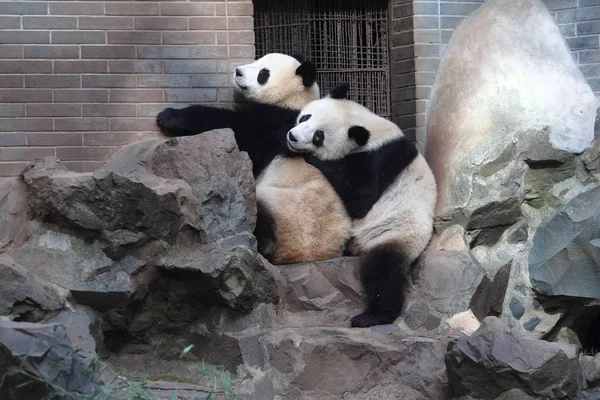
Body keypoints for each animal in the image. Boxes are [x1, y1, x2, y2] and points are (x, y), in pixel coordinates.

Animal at [156, 54, 352, 266]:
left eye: (263, 74)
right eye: (257, 60)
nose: (238, 71)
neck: (295, 99)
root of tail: (306, 256)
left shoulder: (274, 125)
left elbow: (234, 128)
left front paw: (169, 116)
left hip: (284, 212)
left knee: (254, 213)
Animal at [286, 82, 436, 328]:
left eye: (319, 136)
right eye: (306, 117)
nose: (293, 136)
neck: (365, 127)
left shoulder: (378, 159)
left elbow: (361, 197)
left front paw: (314, 159)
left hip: (398, 232)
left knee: (383, 271)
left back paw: (373, 316)